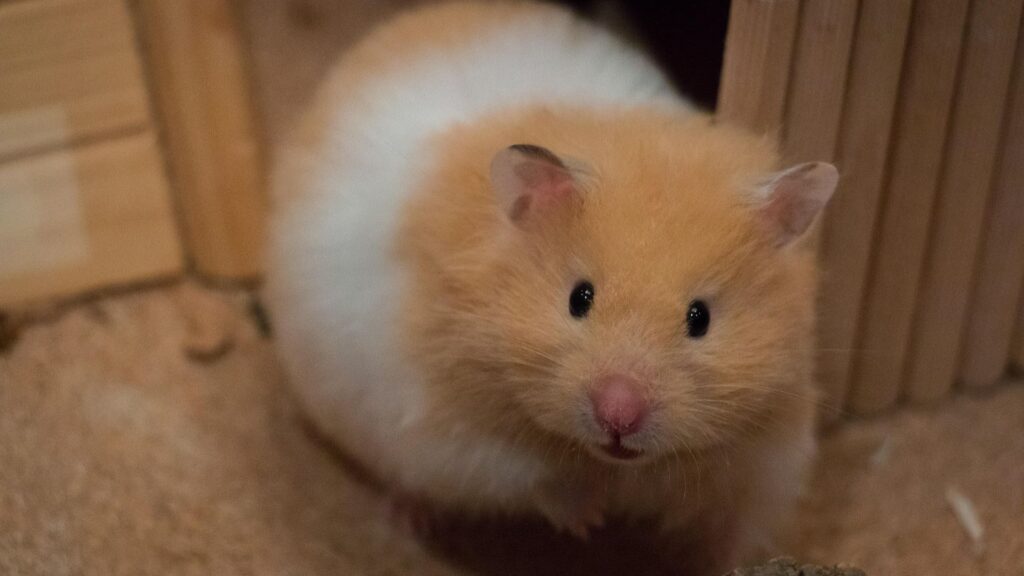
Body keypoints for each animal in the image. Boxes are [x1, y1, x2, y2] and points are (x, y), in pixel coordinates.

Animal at [264, 2, 837, 573]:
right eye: (578, 298)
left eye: (700, 318)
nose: (618, 414)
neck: (618, 463)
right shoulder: (454, 439)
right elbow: (531, 478)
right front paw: (590, 520)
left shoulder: (763, 462)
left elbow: (730, 534)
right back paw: (410, 518)